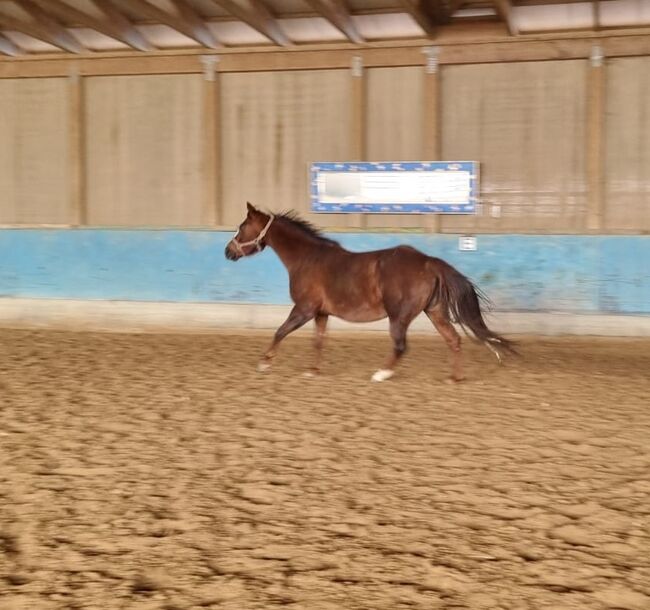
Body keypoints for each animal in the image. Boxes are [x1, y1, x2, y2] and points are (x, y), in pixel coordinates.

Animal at [225, 203, 512, 380]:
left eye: (242, 227)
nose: (228, 251)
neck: (307, 259)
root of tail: (428, 261)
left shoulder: (304, 309)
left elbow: (281, 331)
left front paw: (264, 362)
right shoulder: (320, 313)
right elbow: (318, 340)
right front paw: (313, 370)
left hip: (400, 316)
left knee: (401, 345)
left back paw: (381, 373)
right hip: (435, 311)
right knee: (453, 340)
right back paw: (456, 377)